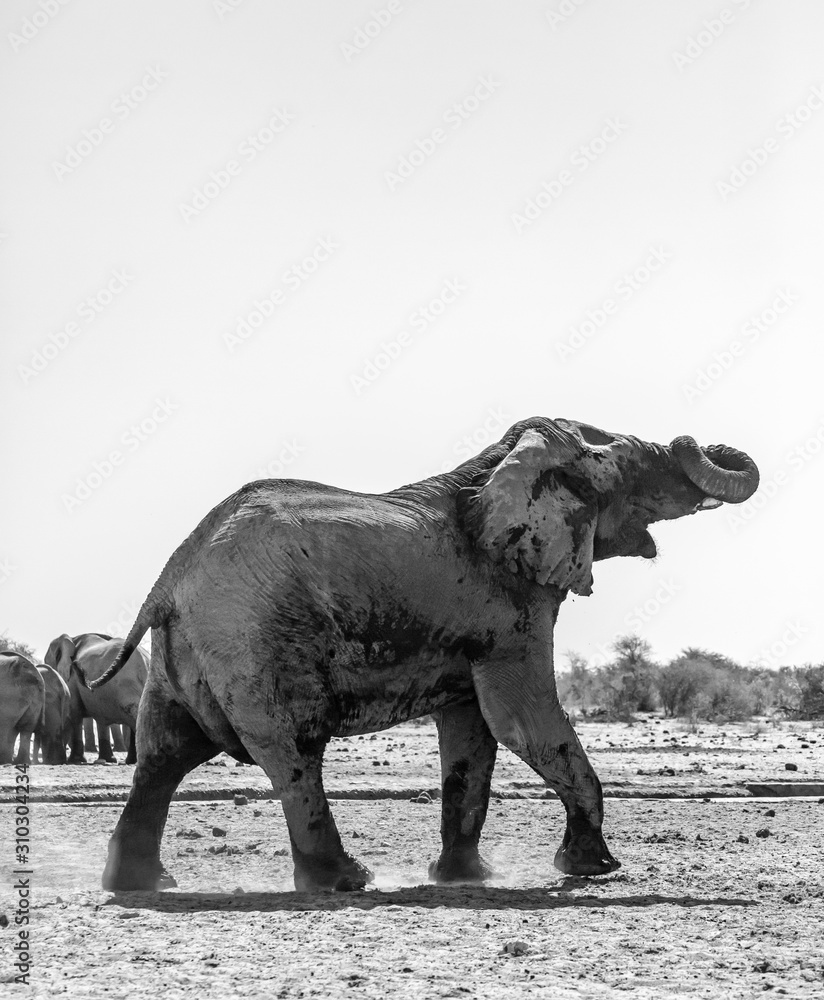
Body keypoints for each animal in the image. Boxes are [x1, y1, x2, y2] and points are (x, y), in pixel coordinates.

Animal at [44, 634, 147, 765]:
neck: (73, 639)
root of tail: (145, 662)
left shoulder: (72, 679)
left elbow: (75, 713)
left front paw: (75, 760)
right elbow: (101, 716)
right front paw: (109, 759)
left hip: (125, 685)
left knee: (133, 712)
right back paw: (130, 761)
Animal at [94, 416, 758, 893]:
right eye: (626, 463)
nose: (692, 440)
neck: (500, 466)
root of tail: (172, 576)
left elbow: (473, 736)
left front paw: (466, 878)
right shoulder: (514, 608)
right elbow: (523, 720)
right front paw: (590, 870)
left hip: (187, 652)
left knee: (164, 753)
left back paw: (139, 885)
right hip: (255, 636)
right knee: (293, 748)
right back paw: (343, 882)